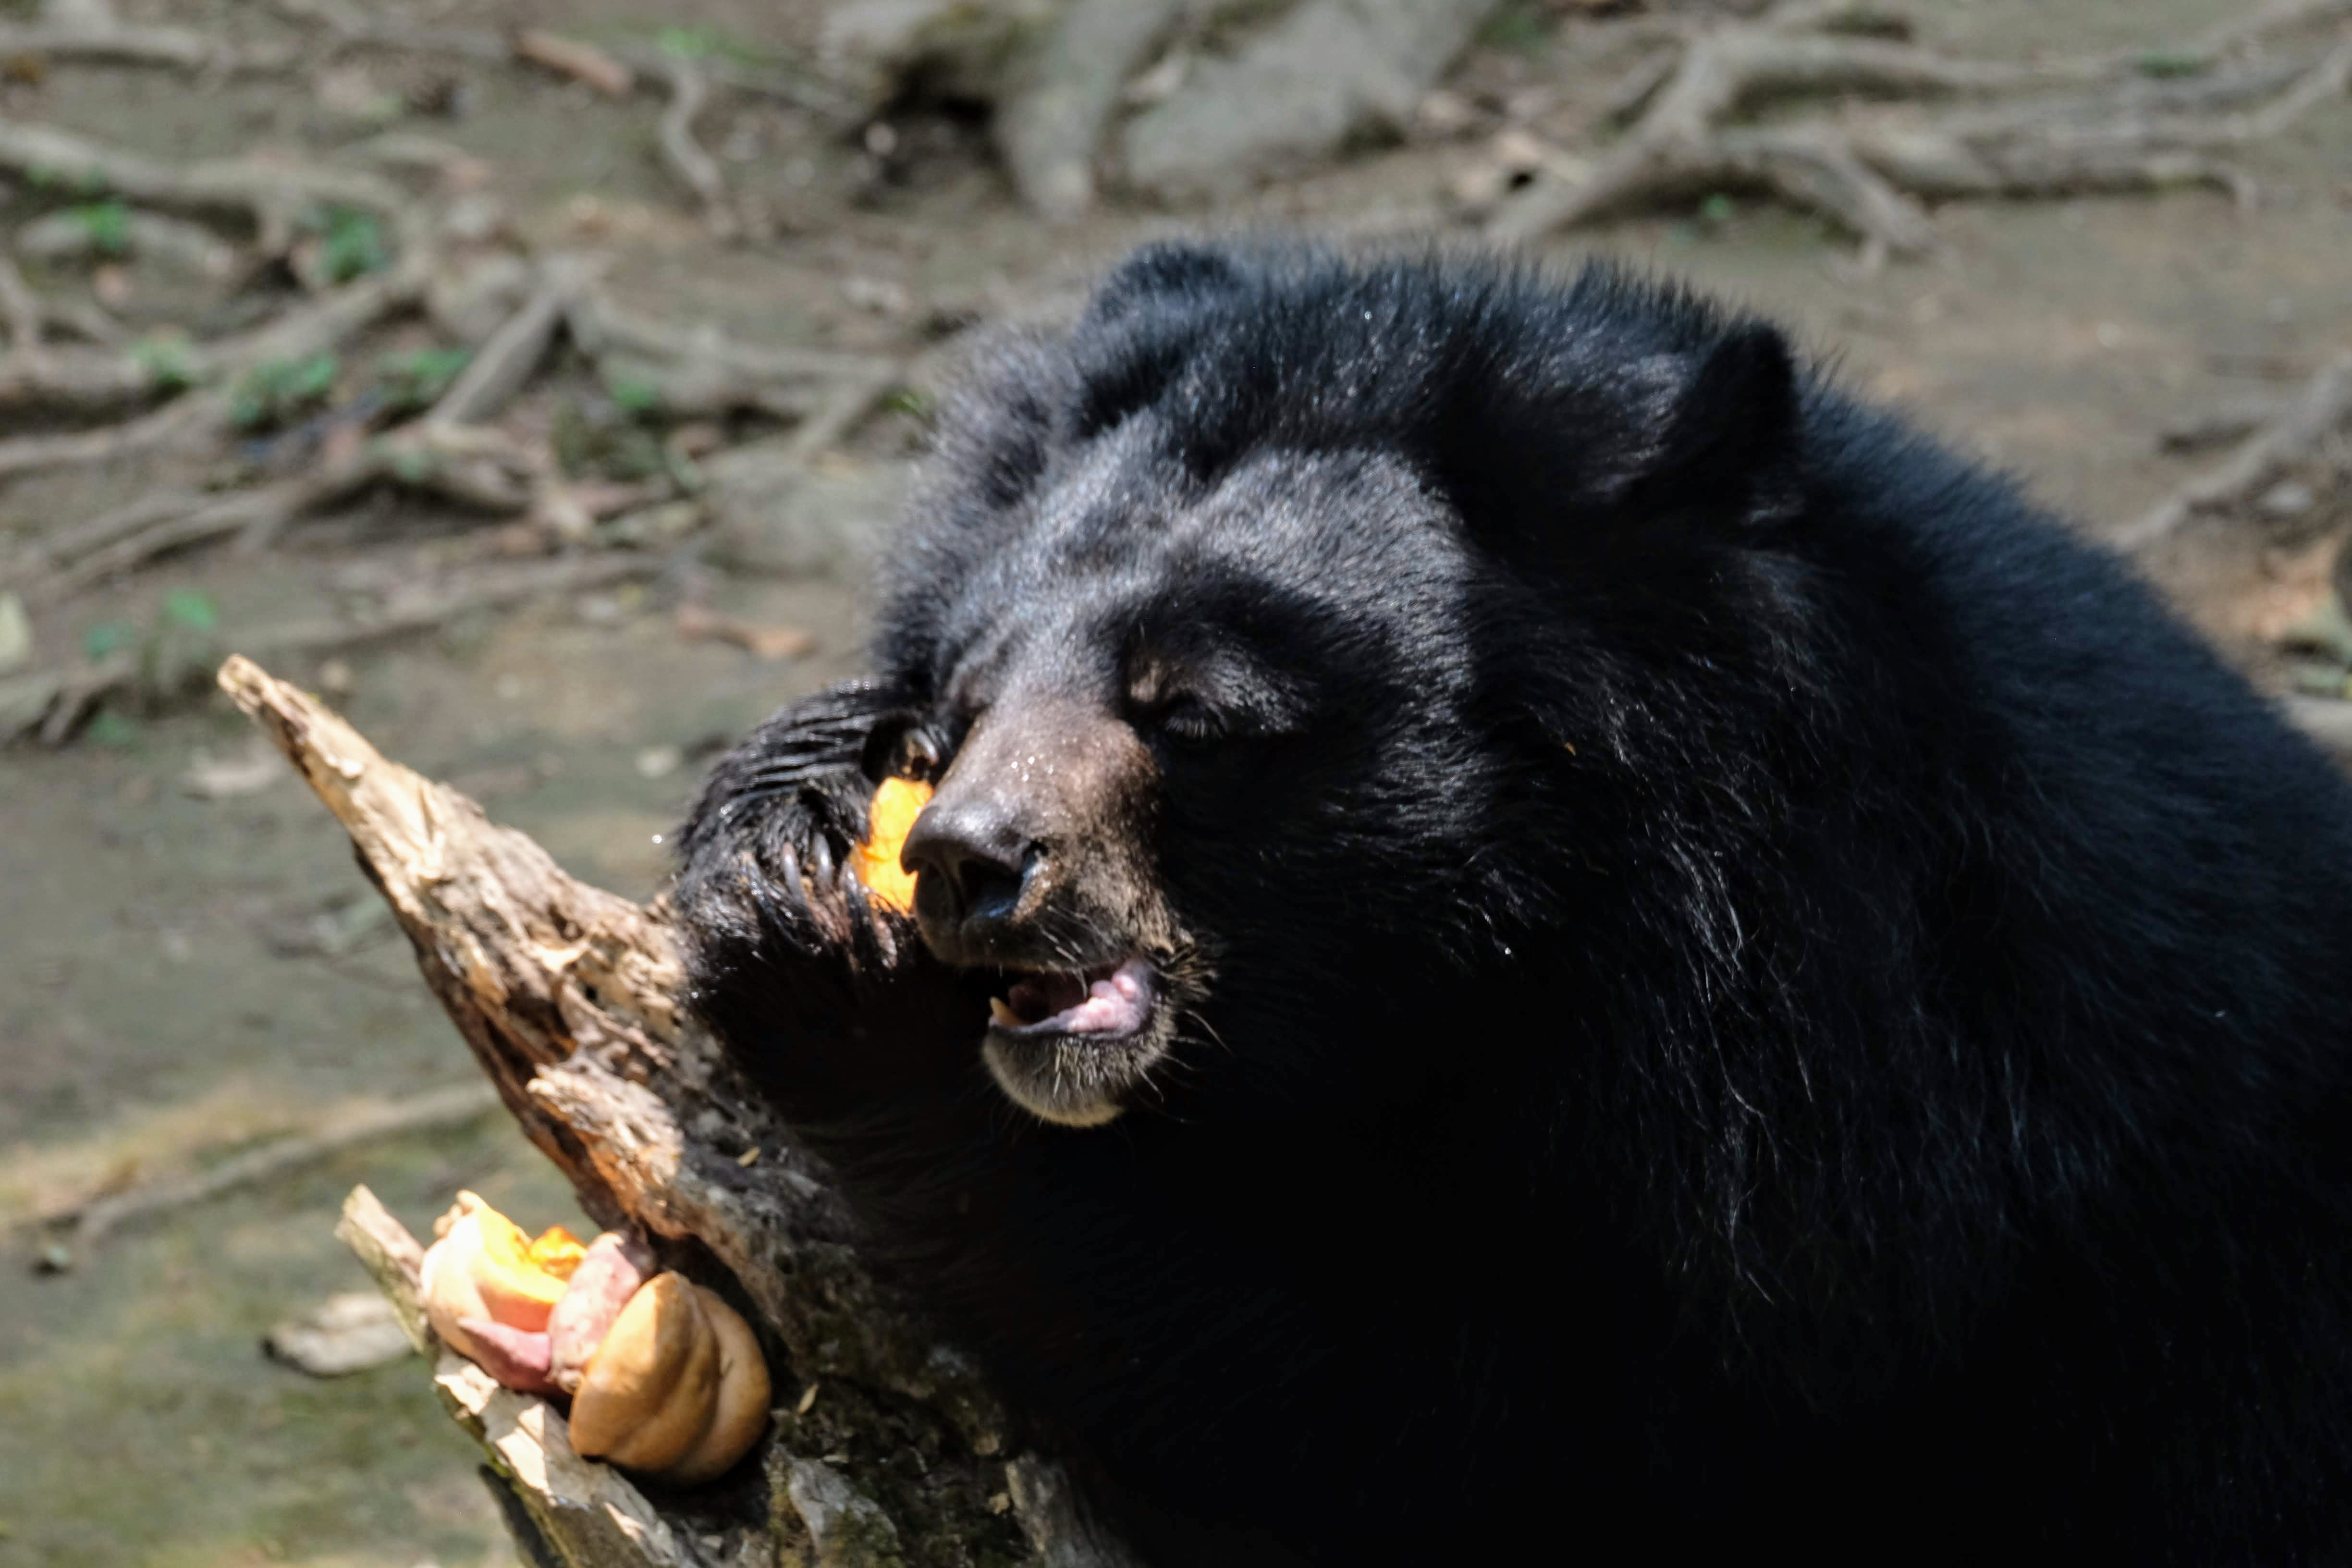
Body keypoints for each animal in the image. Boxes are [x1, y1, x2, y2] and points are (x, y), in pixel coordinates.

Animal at [673, 240, 2352, 1561]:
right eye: (963, 699)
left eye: (1191, 710)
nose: (963, 862)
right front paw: (780, 823)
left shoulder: (1865, 1207)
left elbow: (1427, 1415)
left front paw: (842, 996)